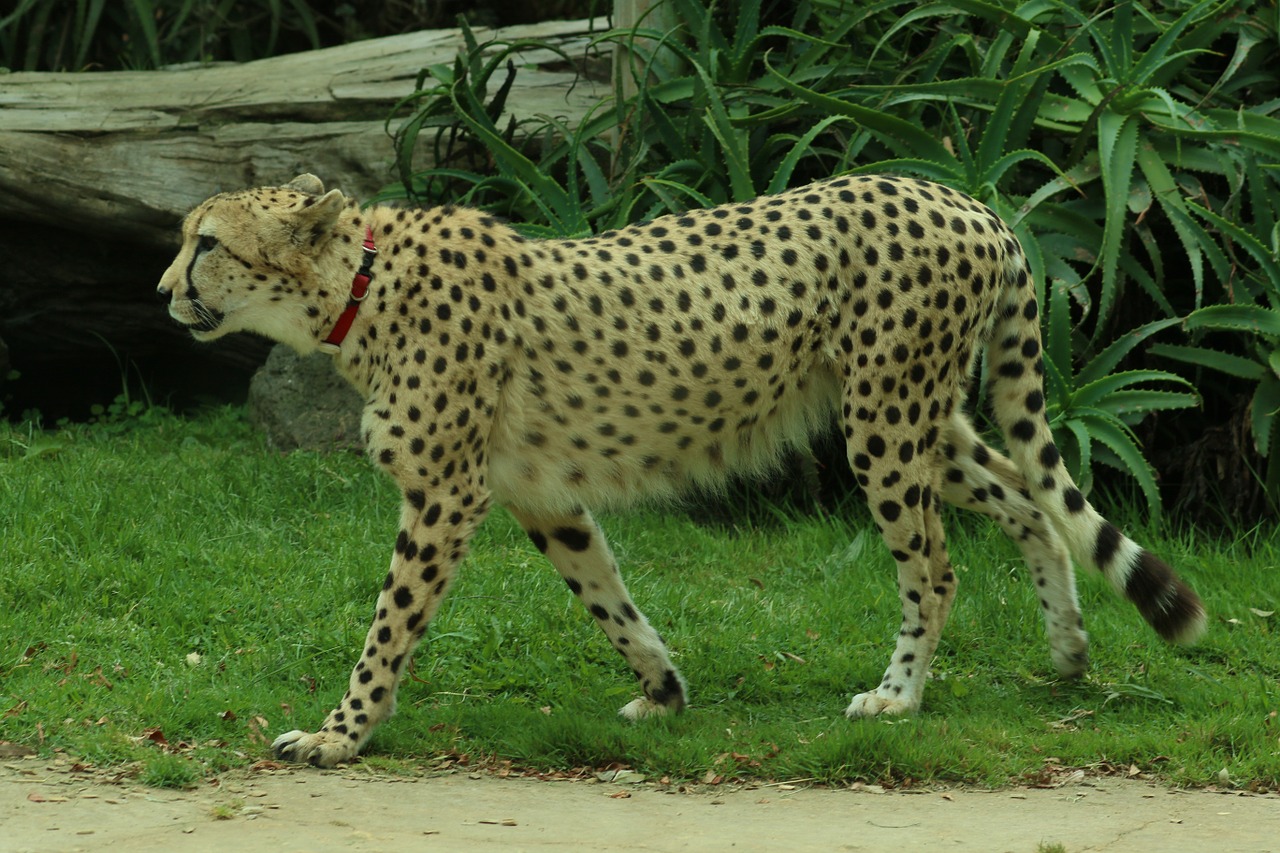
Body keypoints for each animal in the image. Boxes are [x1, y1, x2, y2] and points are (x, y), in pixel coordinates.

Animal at [154, 171, 1203, 763]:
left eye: (207, 242)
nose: (163, 290)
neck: (361, 284)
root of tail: (965, 198)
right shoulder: (540, 493)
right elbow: (606, 596)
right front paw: (664, 689)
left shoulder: (446, 494)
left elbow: (388, 627)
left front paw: (339, 734)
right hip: (919, 418)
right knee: (1031, 500)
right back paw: (1067, 653)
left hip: (883, 420)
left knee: (937, 565)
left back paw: (900, 695)